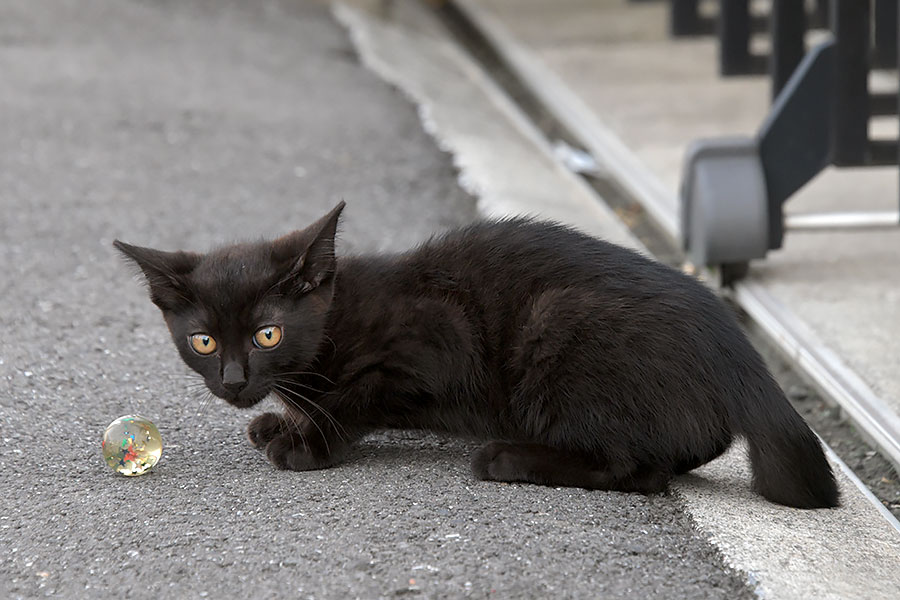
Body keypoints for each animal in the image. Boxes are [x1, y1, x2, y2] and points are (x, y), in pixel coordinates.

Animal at [116, 202, 840, 506]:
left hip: (556, 325)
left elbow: (357, 397)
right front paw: (282, 420)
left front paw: (308, 440)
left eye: (267, 334)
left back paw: (508, 458)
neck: (338, 316)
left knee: (639, 470)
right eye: (204, 341)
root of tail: (737, 350)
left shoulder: (435, 343)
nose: (236, 380)